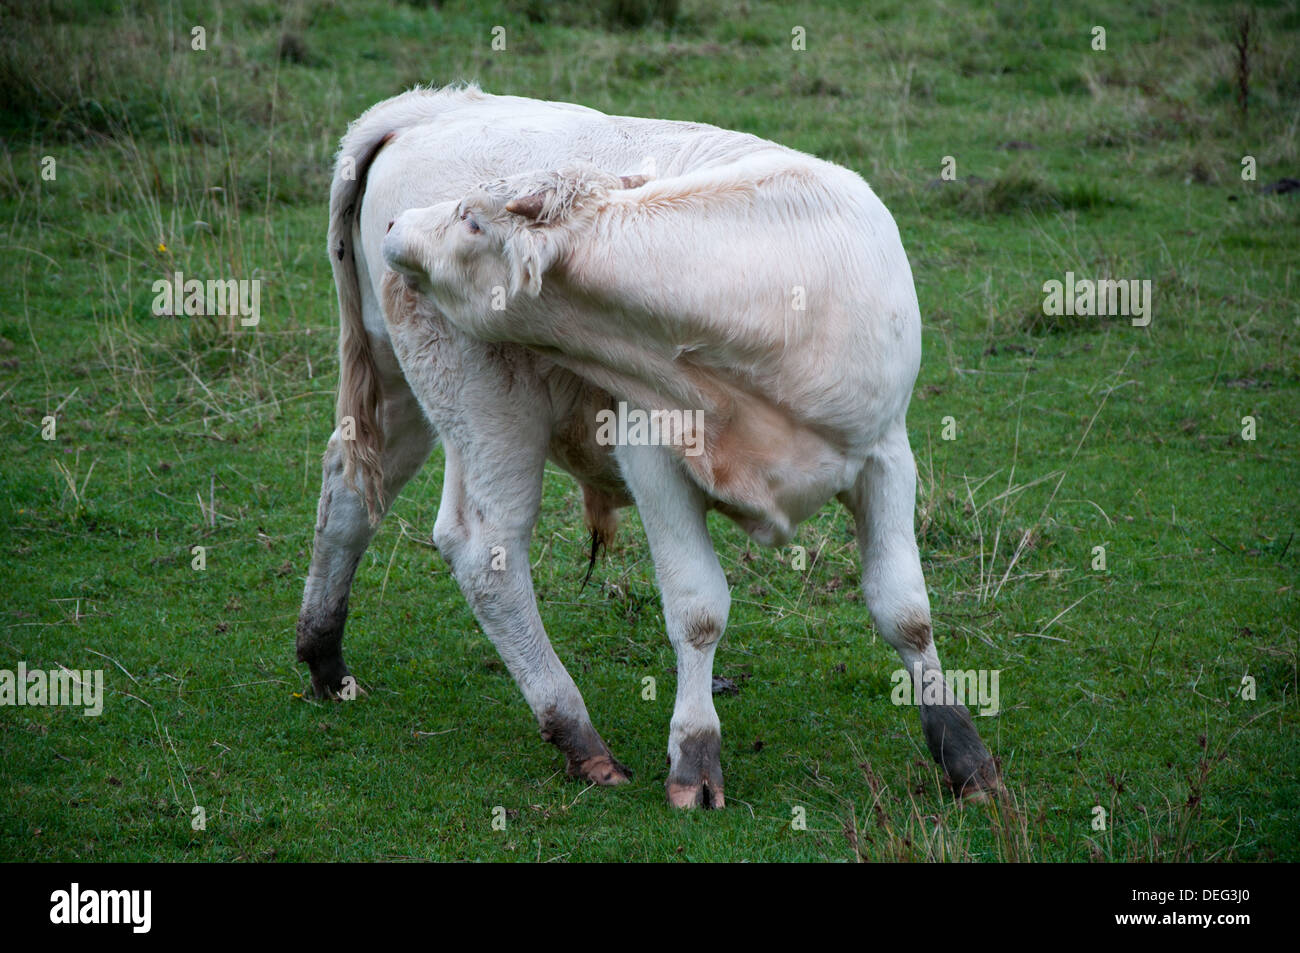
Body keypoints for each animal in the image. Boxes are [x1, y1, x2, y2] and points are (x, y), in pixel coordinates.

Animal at [297, 84, 1000, 807]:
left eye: (470, 218)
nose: (397, 228)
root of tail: (428, 108)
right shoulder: (652, 457)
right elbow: (698, 609)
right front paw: (695, 757)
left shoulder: (887, 451)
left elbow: (904, 608)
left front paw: (964, 752)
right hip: (486, 402)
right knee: (483, 547)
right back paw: (578, 735)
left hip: (400, 381)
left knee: (349, 492)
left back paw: (324, 657)